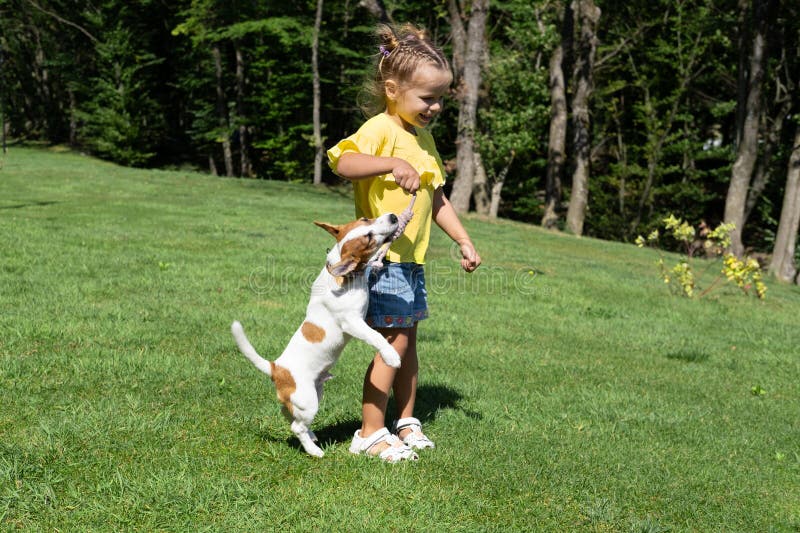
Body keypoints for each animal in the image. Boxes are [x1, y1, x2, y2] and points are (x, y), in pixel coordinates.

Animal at [231, 212, 406, 458]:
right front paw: (391, 356)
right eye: (369, 238)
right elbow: (376, 337)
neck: (346, 277)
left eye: (365, 218)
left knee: (287, 413)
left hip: (312, 393)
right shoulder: (352, 323)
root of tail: (276, 368)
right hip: (309, 400)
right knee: (296, 426)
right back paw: (314, 450)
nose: (392, 216)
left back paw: (312, 435)